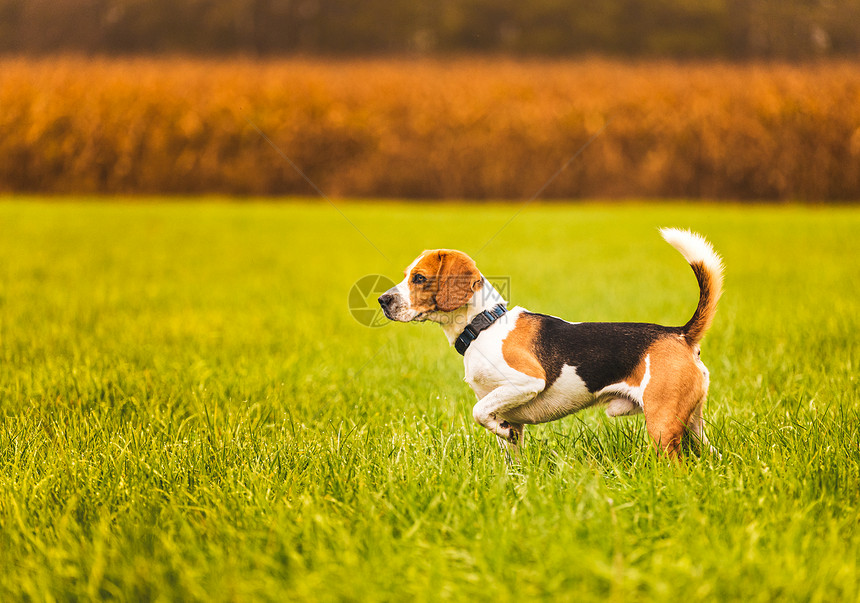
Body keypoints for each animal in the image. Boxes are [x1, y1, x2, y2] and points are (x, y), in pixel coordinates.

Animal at [380, 229, 724, 460]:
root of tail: (680, 334)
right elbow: (507, 446)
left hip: (662, 425)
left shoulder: (526, 381)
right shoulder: (508, 413)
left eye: (419, 278)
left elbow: (478, 412)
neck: (483, 325)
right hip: (692, 424)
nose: (383, 300)